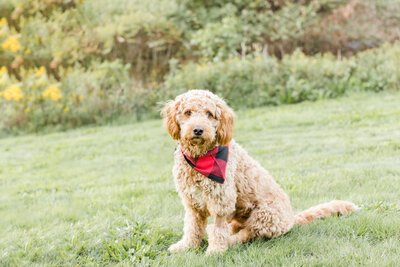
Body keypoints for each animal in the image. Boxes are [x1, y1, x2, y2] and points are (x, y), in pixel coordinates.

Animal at [162, 90, 356, 255]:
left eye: (209, 114)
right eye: (188, 112)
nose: (198, 130)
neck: (199, 158)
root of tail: (291, 219)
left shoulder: (221, 200)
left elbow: (218, 229)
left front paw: (215, 251)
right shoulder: (191, 201)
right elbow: (192, 227)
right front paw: (186, 246)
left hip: (265, 215)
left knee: (247, 234)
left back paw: (229, 241)